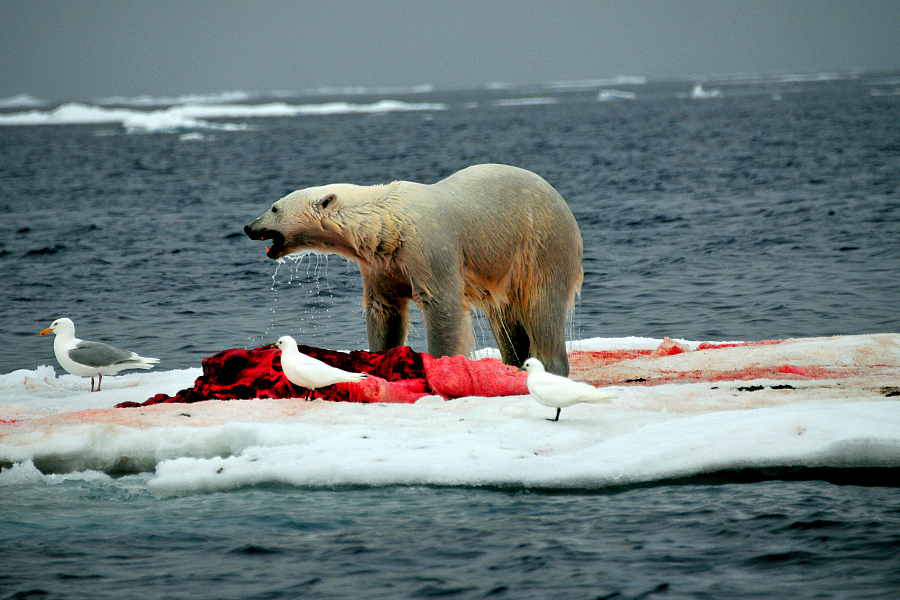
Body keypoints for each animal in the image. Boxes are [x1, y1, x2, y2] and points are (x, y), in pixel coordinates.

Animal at [246, 164, 584, 376]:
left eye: (274, 207)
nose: (249, 227)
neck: (385, 224)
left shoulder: (429, 247)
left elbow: (443, 306)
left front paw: (442, 364)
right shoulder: (381, 263)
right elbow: (384, 309)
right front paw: (382, 356)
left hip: (542, 245)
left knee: (542, 308)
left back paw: (550, 369)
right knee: (506, 319)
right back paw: (513, 364)